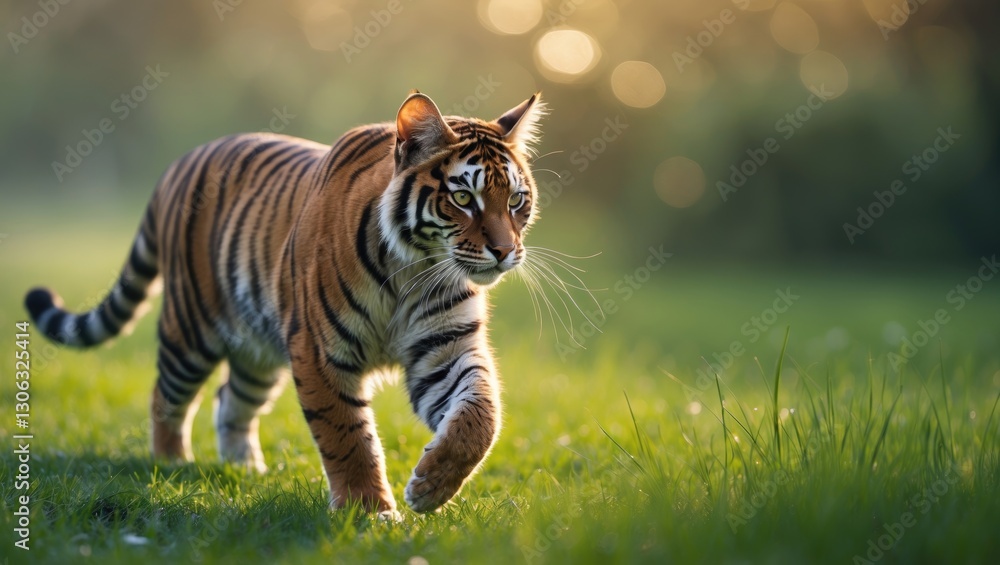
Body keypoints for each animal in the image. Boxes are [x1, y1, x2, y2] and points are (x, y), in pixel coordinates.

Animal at [24, 91, 546, 516]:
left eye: (516, 200)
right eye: (463, 198)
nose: (505, 251)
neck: (415, 269)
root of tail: (180, 161)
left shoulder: (445, 348)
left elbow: (480, 417)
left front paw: (430, 488)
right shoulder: (320, 352)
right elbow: (347, 436)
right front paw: (368, 514)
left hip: (257, 351)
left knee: (230, 400)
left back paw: (246, 472)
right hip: (190, 332)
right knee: (165, 397)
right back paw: (172, 465)